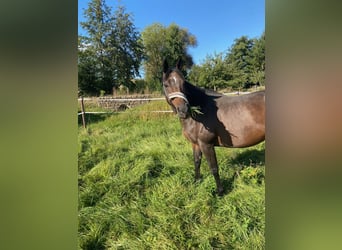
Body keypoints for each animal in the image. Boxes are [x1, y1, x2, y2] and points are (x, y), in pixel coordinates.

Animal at [162, 60, 266, 195]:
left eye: (183, 83)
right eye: (166, 84)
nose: (183, 110)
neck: (200, 110)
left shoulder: (206, 144)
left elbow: (214, 168)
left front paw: (220, 192)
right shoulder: (196, 144)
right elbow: (197, 162)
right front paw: (197, 182)